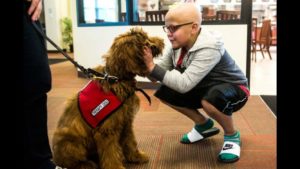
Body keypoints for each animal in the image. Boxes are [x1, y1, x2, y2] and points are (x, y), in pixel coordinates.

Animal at [51, 27, 164, 169]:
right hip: (72, 144)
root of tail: (55, 158)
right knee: (72, 162)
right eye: (145, 39)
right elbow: (110, 152)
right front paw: (115, 166)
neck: (116, 78)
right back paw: (87, 164)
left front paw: (136, 156)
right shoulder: (107, 130)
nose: (162, 40)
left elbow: (130, 142)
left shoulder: (126, 122)